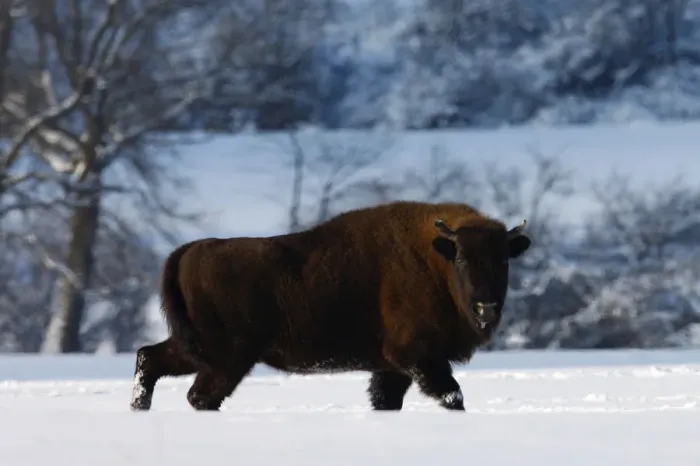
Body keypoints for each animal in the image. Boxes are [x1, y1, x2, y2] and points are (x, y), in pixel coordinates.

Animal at [130, 200, 531, 412]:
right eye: (461, 259)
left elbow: (386, 399)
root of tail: (189, 251)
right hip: (224, 359)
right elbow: (452, 393)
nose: (486, 308)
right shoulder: (418, 357)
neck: (435, 260)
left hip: (196, 349)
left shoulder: (393, 368)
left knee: (149, 358)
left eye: (504, 260)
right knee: (197, 393)